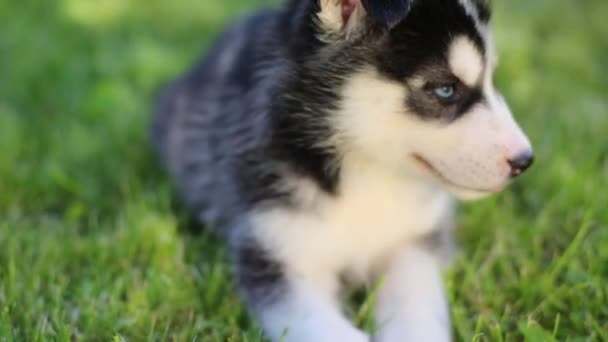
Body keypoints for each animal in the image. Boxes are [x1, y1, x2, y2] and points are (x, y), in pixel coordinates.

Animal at [154, 0, 536, 340]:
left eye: (491, 79)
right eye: (445, 89)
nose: (524, 160)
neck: (363, 171)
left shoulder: (412, 244)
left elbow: (416, 310)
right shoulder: (276, 254)